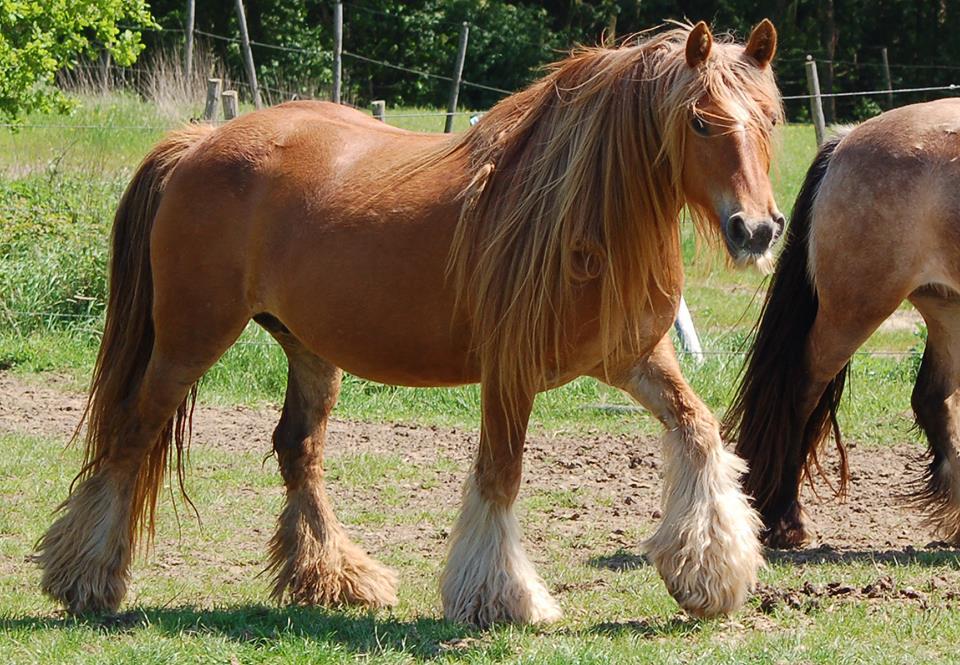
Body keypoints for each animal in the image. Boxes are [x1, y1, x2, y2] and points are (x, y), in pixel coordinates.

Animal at [36, 20, 783, 625]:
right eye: (701, 122)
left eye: (771, 121)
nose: (757, 229)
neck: (579, 216)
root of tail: (202, 140)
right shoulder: (508, 374)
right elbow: (500, 475)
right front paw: (500, 599)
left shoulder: (636, 358)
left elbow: (699, 431)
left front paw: (707, 574)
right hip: (191, 338)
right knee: (133, 433)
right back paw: (88, 579)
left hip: (309, 347)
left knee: (297, 449)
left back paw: (334, 578)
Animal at [725, 98, 960, 549]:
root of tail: (847, 139)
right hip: (856, 309)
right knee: (802, 390)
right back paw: (784, 517)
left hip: (945, 305)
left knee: (933, 400)